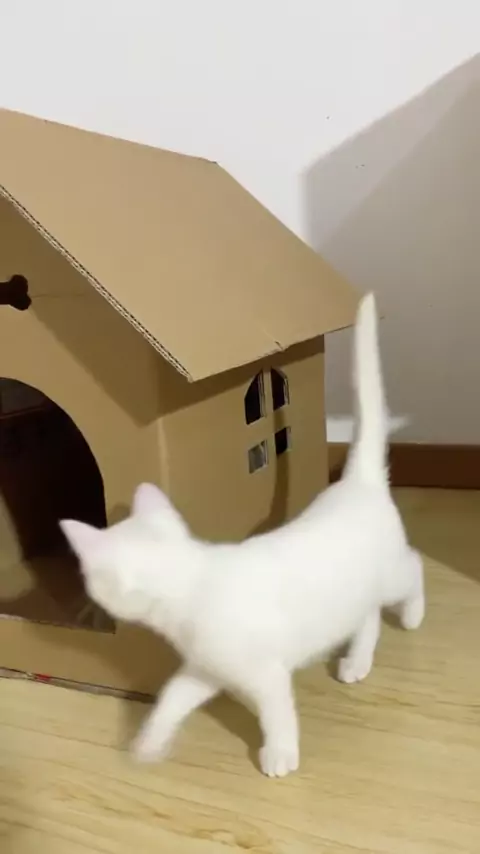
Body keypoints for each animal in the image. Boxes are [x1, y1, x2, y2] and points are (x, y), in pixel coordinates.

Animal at [60, 293, 424, 778]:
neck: (190, 589)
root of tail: (357, 482)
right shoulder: (203, 670)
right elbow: (172, 698)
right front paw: (149, 743)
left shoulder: (265, 673)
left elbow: (277, 713)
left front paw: (280, 754)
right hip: (354, 596)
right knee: (366, 619)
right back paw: (355, 661)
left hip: (391, 575)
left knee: (414, 569)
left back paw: (412, 616)